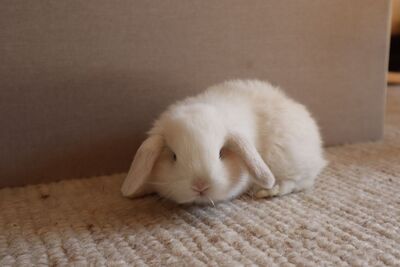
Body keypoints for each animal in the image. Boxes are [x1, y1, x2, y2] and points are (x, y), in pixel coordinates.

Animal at [120, 79, 326, 205]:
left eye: (220, 153)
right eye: (173, 156)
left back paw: (267, 191)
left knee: (298, 182)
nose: (200, 186)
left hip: (287, 160)